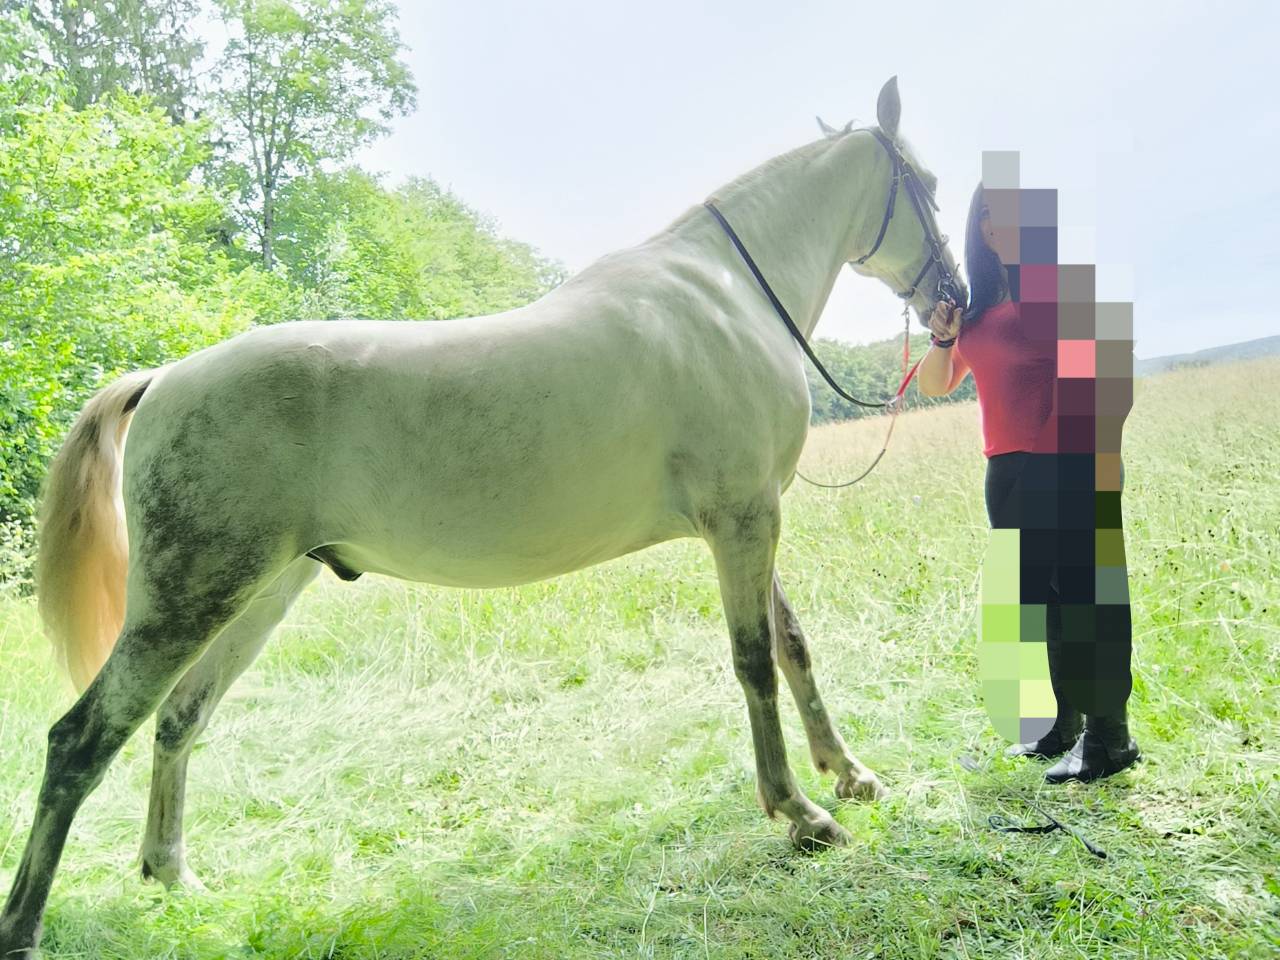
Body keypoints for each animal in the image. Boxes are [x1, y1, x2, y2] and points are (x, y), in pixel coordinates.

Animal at [0, 76, 962, 955]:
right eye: (928, 184)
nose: (953, 301)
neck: (726, 295)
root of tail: (163, 377)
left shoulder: (751, 516)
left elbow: (792, 645)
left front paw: (850, 775)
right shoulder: (741, 518)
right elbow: (755, 660)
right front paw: (801, 812)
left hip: (258, 594)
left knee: (178, 719)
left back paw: (175, 876)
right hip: (185, 600)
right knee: (82, 739)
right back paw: (25, 927)